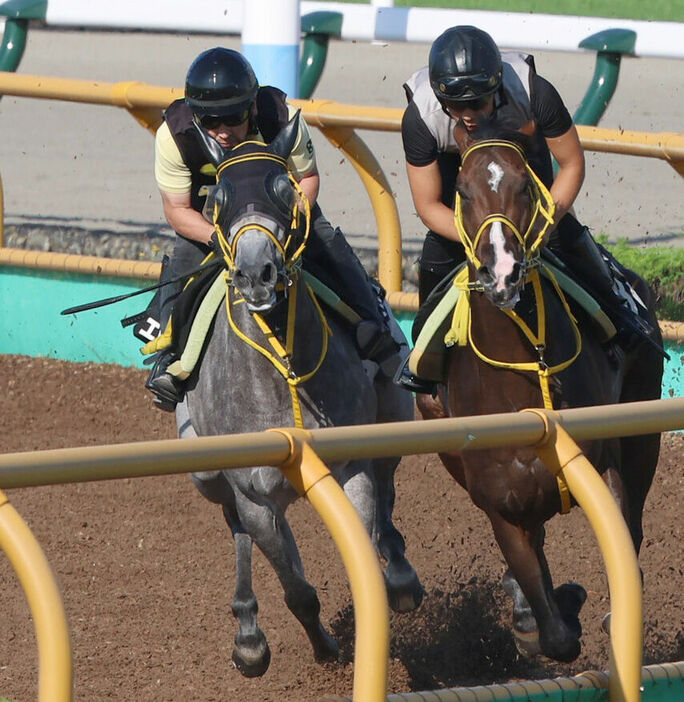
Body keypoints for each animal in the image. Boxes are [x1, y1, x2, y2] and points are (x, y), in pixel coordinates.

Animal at [175, 115, 422, 680]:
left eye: (284, 188)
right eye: (216, 198)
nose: (257, 273)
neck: (281, 374)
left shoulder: (350, 466)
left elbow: (365, 530)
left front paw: (385, 593)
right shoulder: (254, 493)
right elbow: (295, 588)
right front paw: (323, 647)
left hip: (395, 411)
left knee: (389, 488)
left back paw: (401, 573)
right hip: (206, 474)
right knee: (236, 530)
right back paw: (248, 633)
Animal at [416, 125, 664, 664]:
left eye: (525, 186)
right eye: (462, 189)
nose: (503, 272)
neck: (521, 388)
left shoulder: (602, 461)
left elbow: (621, 538)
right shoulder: (500, 506)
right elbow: (555, 636)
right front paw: (543, 613)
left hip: (644, 431)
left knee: (635, 513)